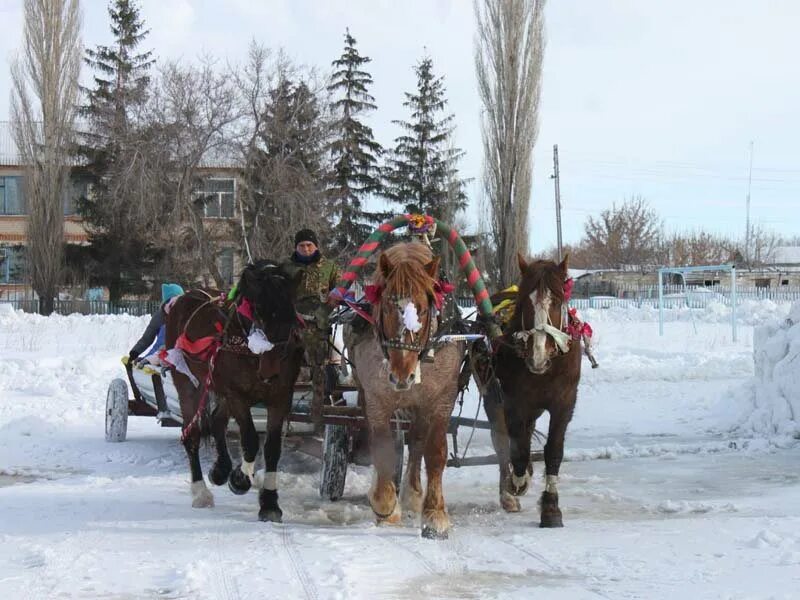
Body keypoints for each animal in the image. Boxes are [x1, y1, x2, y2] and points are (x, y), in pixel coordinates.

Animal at [162, 260, 304, 524]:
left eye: (291, 316)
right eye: (257, 310)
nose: (270, 370)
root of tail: (186, 297)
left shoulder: (281, 396)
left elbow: (272, 448)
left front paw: (269, 502)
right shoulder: (237, 395)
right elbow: (250, 440)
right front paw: (240, 478)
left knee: (217, 420)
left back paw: (221, 469)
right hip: (190, 382)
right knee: (192, 433)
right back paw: (201, 492)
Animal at [344, 241, 462, 540]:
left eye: (423, 310)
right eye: (386, 307)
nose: (401, 376)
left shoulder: (441, 399)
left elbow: (435, 451)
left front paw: (435, 515)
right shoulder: (377, 400)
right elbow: (383, 448)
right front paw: (385, 504)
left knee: (417, 440)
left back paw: (413, 493)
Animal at [476, 255, 580, 528]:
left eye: (557, 301)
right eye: (526, 303)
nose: (538, 355)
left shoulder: (564, 402)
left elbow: (554, 450)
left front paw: (551, 508)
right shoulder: (514, 402)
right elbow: (518, 447)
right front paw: (517, 482)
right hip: (492, 395)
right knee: (502, 440)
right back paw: (508, 491)